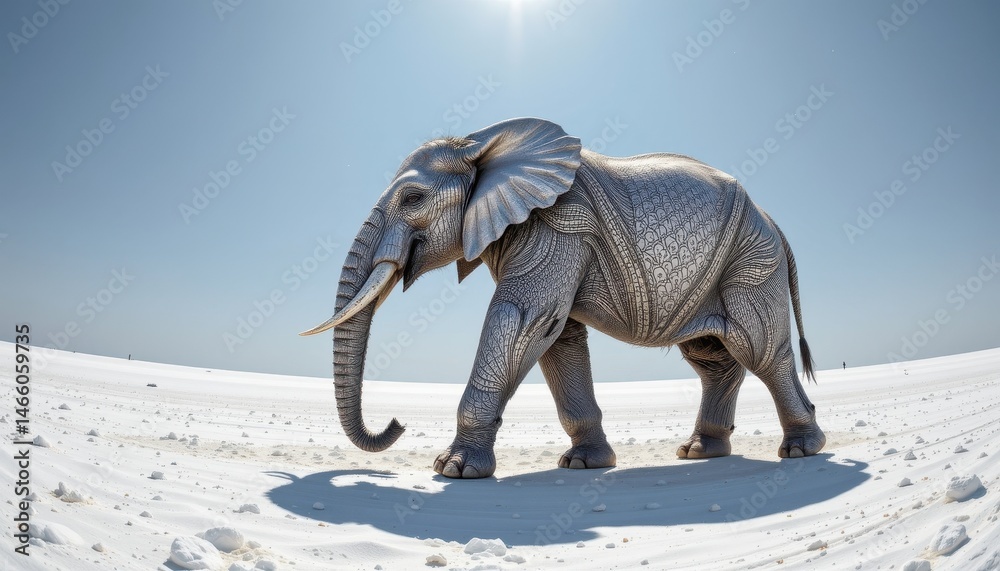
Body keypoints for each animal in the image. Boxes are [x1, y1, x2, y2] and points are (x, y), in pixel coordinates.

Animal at [301, 117, 825, 479]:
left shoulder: (558, 225)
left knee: (760, 349)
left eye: (412, 199)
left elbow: (521, 319)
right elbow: (556, 338)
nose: (395, 424)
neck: (482, 141)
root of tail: (773, 221)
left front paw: (453, 470)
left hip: (751, 266)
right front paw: (583, 465)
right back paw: (699, 453)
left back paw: (802, 450)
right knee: (714, 358)